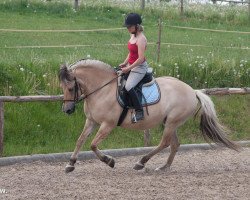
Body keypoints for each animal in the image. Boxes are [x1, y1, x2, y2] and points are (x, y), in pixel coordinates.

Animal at [58, 58, 238, 173]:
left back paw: (141, 162)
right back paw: (164, 167)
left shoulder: (107, 124)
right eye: (62, 87)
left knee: (165, 143)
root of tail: (192, 91)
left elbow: (93, 145)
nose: (67, 110)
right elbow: (80, 140)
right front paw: (70, 165)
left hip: (171, 122)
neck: (102, 89)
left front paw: (109, 161)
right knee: (175, 144)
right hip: (170, 122)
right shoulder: (91, 121)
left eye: (71, 88)